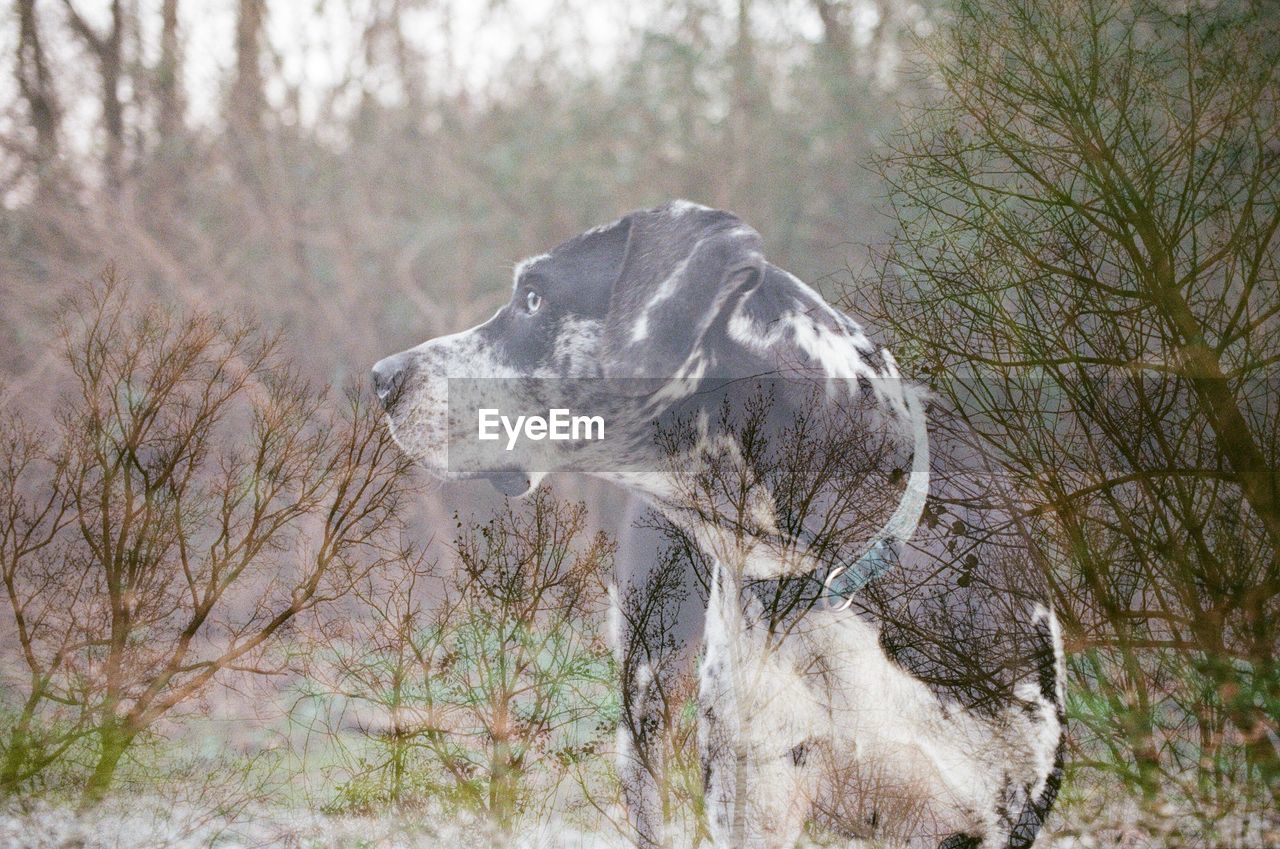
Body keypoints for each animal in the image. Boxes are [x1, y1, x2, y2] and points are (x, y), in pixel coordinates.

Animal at [373, 202, 1070, 845]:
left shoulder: (1005, 809)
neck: (818, 573)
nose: (381, 378)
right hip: (645, 698)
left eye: (534, 298)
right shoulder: (752, 801)